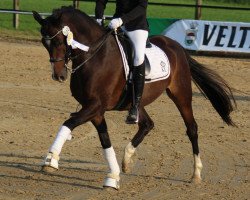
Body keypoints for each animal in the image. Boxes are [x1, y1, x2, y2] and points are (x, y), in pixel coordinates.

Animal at [32, 6, 235, 190]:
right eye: (44, 42)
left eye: (59, 40)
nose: (59, 76)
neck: (94, 55)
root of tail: (177, 46)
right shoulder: (95, 111)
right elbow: (105, 140)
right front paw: (113, 177)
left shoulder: (95, 106)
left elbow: (69, 123)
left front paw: (51, 159)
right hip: (136, 101)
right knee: (147, 124)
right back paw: (127, 158)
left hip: (181, 94)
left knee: (191, 128)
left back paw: (196, 174)